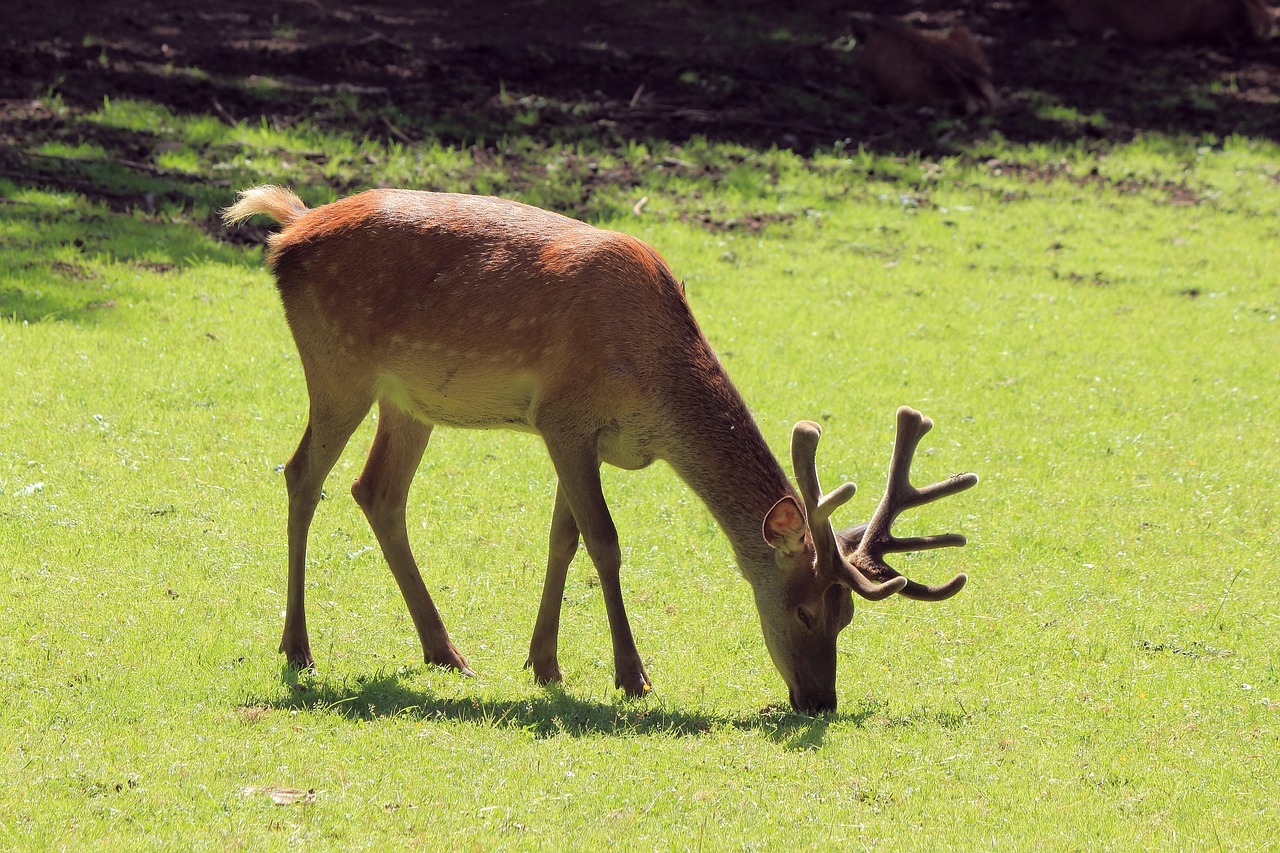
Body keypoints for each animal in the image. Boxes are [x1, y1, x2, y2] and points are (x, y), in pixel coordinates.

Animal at [222, 185, 977, 712]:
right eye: (805, 609)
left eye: (848, 616)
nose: (821, 701)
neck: (654, 385)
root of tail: (288, 230)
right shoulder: (563, 416)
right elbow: (606, 541)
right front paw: (632, 673)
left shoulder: (578, 433)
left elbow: (565, 537)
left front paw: (544, 662)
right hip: (339, 365)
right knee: (302, 475)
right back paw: (298, 647)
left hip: (409, 400)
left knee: (377, 491)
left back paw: (445, 651)